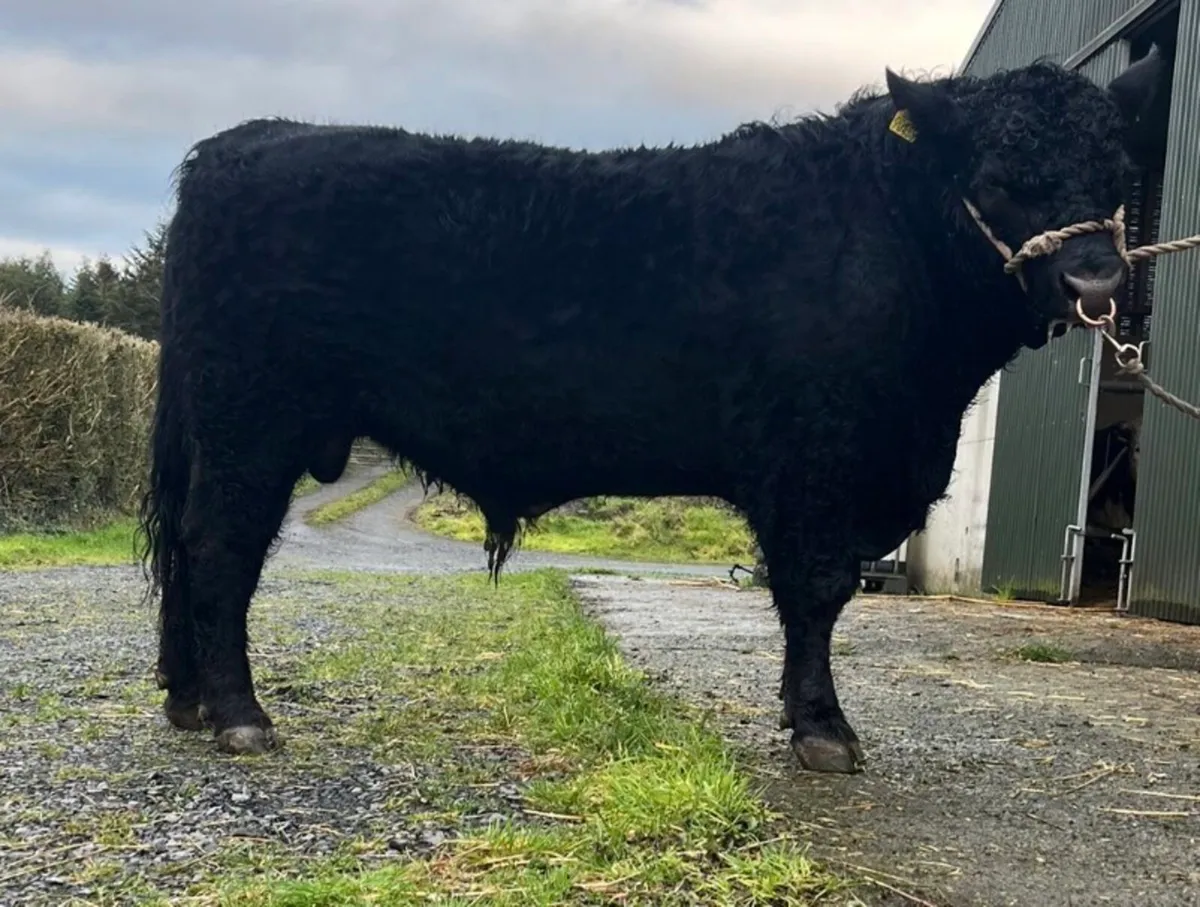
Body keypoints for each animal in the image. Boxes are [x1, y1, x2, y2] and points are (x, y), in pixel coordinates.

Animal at [137, 46, 1167, 773]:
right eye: (996, 179)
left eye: (1115, 170)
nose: (1094, 282)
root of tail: (247, 141)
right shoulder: (818, 463)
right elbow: (817, 592)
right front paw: (824, 730)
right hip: (251, 423)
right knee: (220, 547)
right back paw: (240, 715)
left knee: (189, 546)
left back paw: (188, 700)